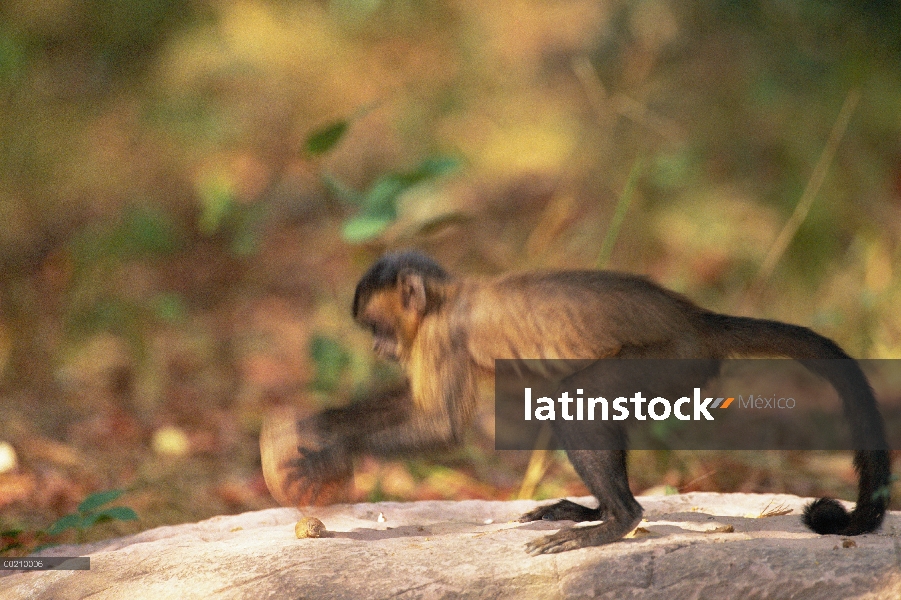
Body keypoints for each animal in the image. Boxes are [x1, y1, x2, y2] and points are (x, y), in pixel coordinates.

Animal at [262, 251, 892, 556]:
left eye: (376, 326)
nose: (377, 346)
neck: (447, 298)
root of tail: (695, 319)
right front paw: (317, 426)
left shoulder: (441, 335)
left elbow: (442, 426)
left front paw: (328, 458)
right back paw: (597, 512)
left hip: (671, 357)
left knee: (577, 403)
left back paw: (617, 521)